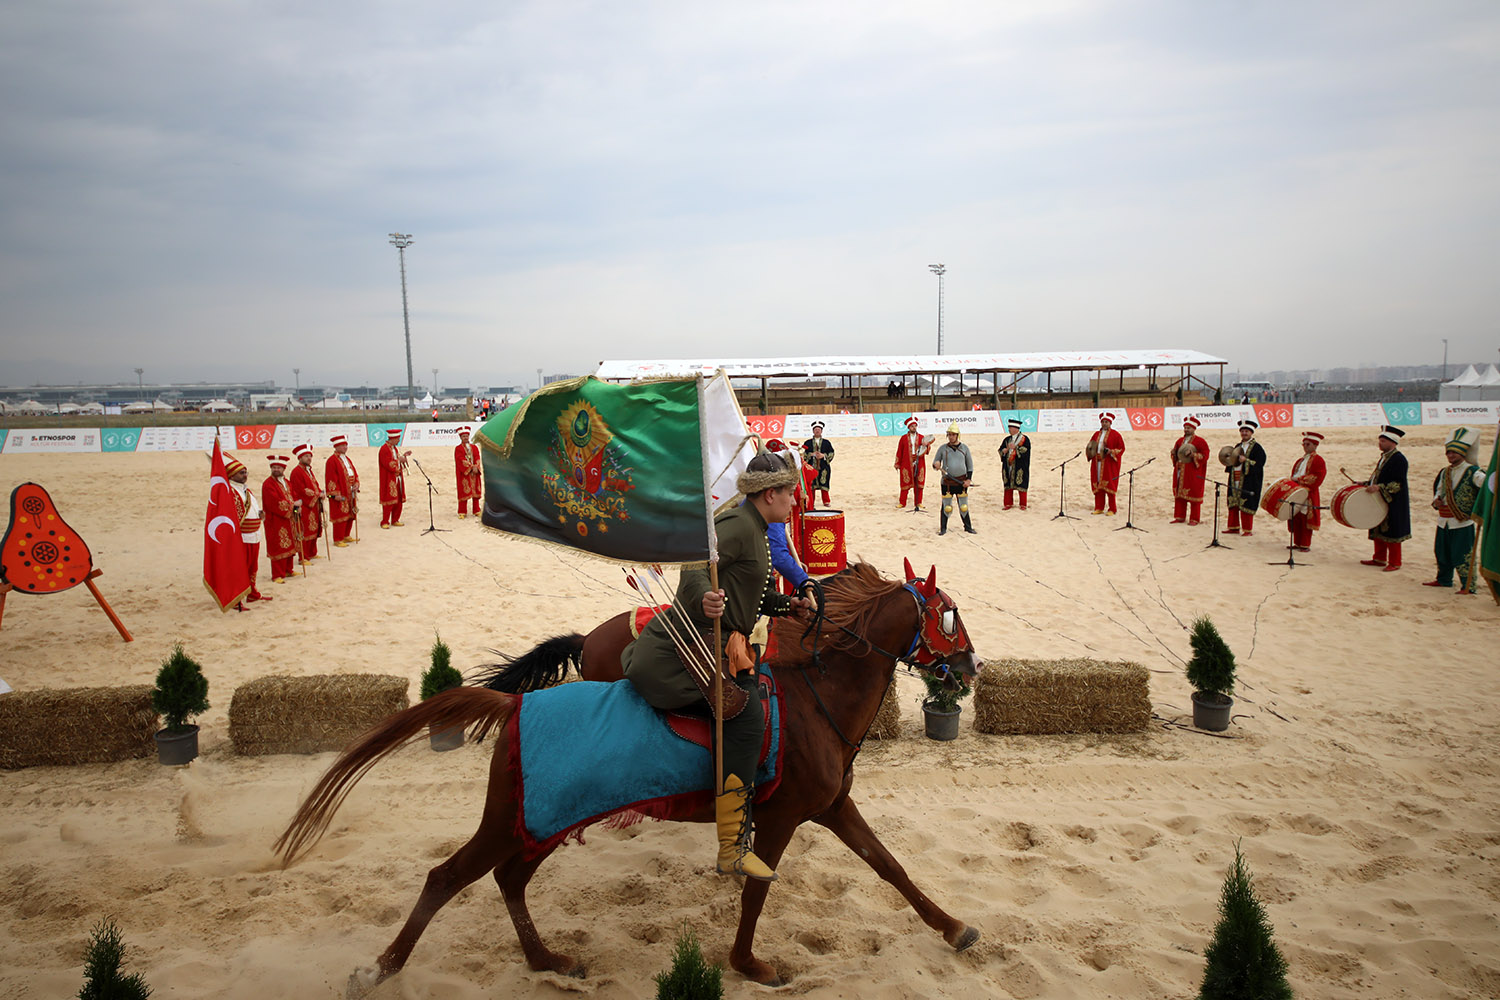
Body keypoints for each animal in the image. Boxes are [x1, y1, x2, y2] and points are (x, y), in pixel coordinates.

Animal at [282, 563, 984, 995]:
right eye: (949, 615)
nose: (970, 667)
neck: (818, 698)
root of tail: (517, 706)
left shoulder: (833, 806)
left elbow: (889, 866)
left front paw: (954, 927)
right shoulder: (784, 817)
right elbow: (758, 892)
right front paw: (748, 963)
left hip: (542, 821)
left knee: (508, 878)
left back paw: (545, 959)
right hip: (515, 819)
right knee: (447, 877)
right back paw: (382, 968)